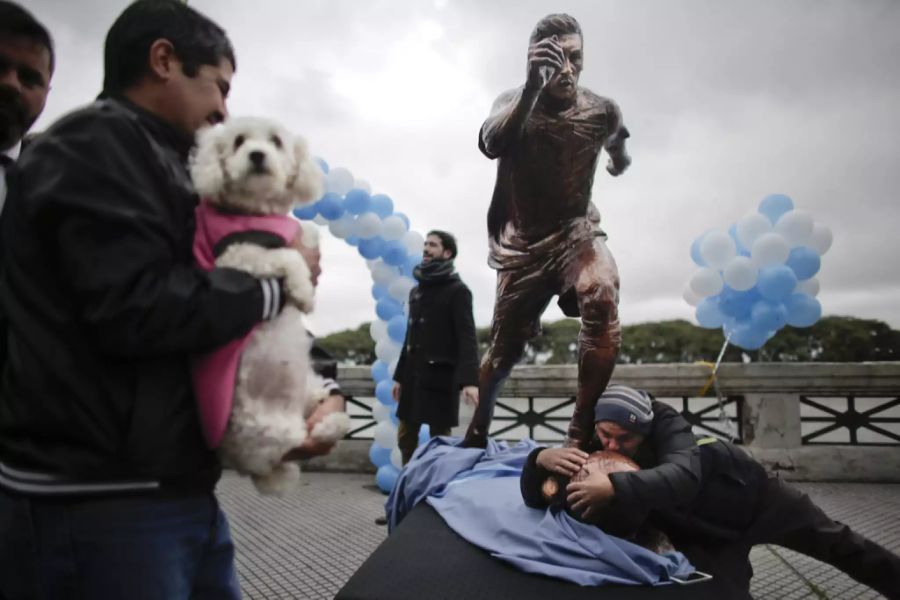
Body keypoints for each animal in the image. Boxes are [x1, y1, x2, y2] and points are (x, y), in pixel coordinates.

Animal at [190, 116, 352, 492]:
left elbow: (306, 232)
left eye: (276, 141)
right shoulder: (237, 253)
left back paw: (333, 418)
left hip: (308, 384)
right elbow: (288, 256)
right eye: (238, 141)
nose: (257, 155)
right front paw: (303, 291)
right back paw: (327, 428)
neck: (256, 212)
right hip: (268, 433)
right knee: (301, 439)